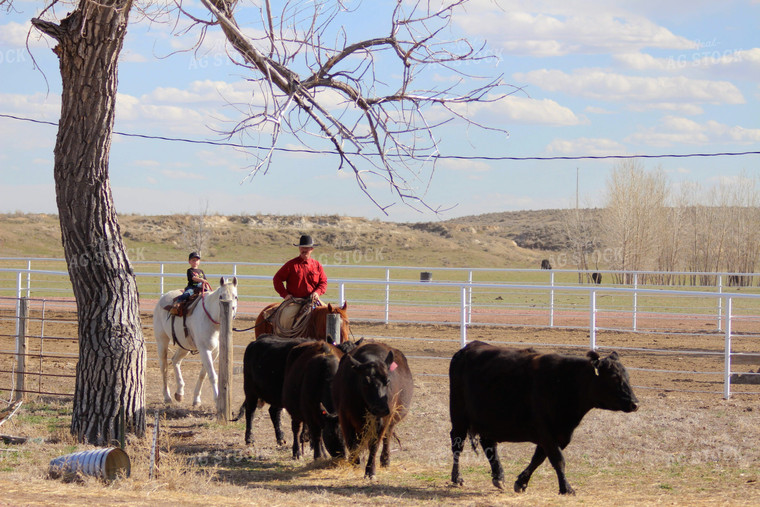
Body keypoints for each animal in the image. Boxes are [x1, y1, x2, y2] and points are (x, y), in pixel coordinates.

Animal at [152, 276, 238, 406]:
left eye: (235, 296)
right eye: (221, 296)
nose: (231, 313)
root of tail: (163, 298)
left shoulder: (215, 352)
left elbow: (203, 374)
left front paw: (196, 399)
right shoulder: (204, 350)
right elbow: (212, 375)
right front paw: (217, 399)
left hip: (184, 346)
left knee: (175, 360)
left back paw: (180, 392)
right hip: (162, 341)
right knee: (164, 367)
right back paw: (167, 397)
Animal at [334, 342, 416, 480]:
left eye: (387, 380)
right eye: (365, 381)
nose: (381, 408)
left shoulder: (382, 421)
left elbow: (375, 445)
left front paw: (370, 470)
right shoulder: (344, 417)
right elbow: (351, 443)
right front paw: (355, 463)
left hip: (391, 421)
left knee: (387, 438)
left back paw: (385, 460)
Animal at [448, 342, 640, 496]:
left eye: (627, 376)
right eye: (614, 377)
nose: (635, 403)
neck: (566, 382)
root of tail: (468, 348)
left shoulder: (559, 434)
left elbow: (539, 458)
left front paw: (521, 482)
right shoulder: (546, 432)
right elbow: (558, 460)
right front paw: (566, 488)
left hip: (488, 421)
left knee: (489, 444)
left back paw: (499, 476)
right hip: (459, 416)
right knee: (457, 444)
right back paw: (457, 478)